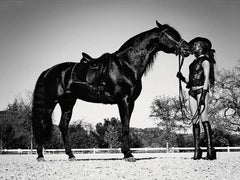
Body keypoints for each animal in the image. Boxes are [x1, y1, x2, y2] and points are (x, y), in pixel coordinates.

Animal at [31, 21, 191, 162]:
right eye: (171, 34)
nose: (188, 49)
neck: (126, 65)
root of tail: (48, 71)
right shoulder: (124, 101)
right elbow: (125, 127)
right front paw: (128, 155)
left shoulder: (130, 102)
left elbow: (126, 126)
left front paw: (126, 153)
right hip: (50, 102)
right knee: (41, 124)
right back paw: (40, 156)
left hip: (67, 103)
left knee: (63, 127)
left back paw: (71, 156)